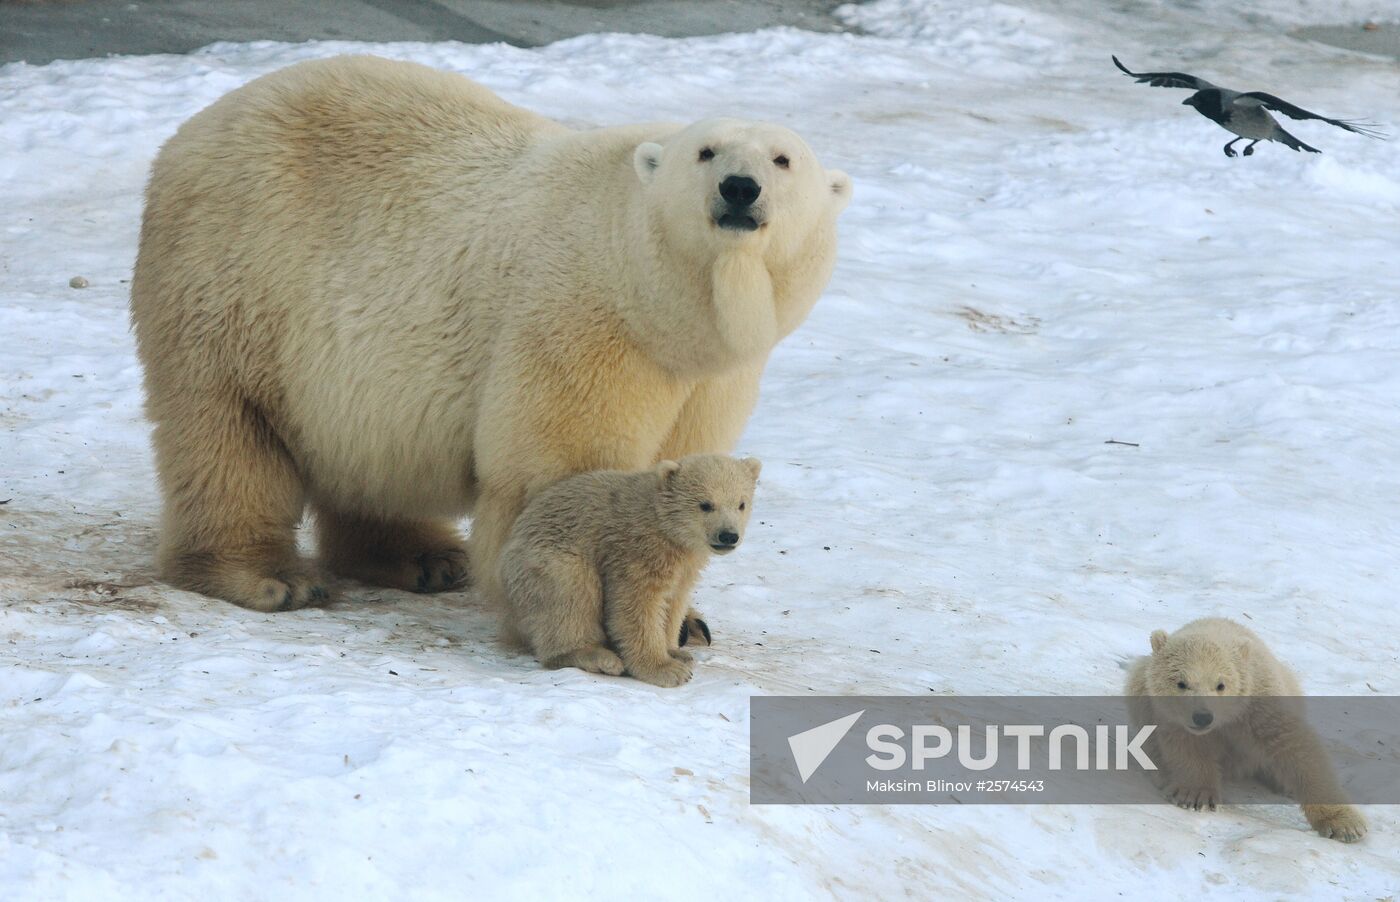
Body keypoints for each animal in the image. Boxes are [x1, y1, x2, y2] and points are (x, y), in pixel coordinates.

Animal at [133, 54, 851, 627]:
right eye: (706, 152)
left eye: (783, 159)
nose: (739, 187)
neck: (654, 297)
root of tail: (193, 131)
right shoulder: (581, 319)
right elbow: (563, 467)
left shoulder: (709, 376)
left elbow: (685, 466)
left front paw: (685, 622)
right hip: (237, 284)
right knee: (228, 434)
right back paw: (268, 577)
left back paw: (424, 557)